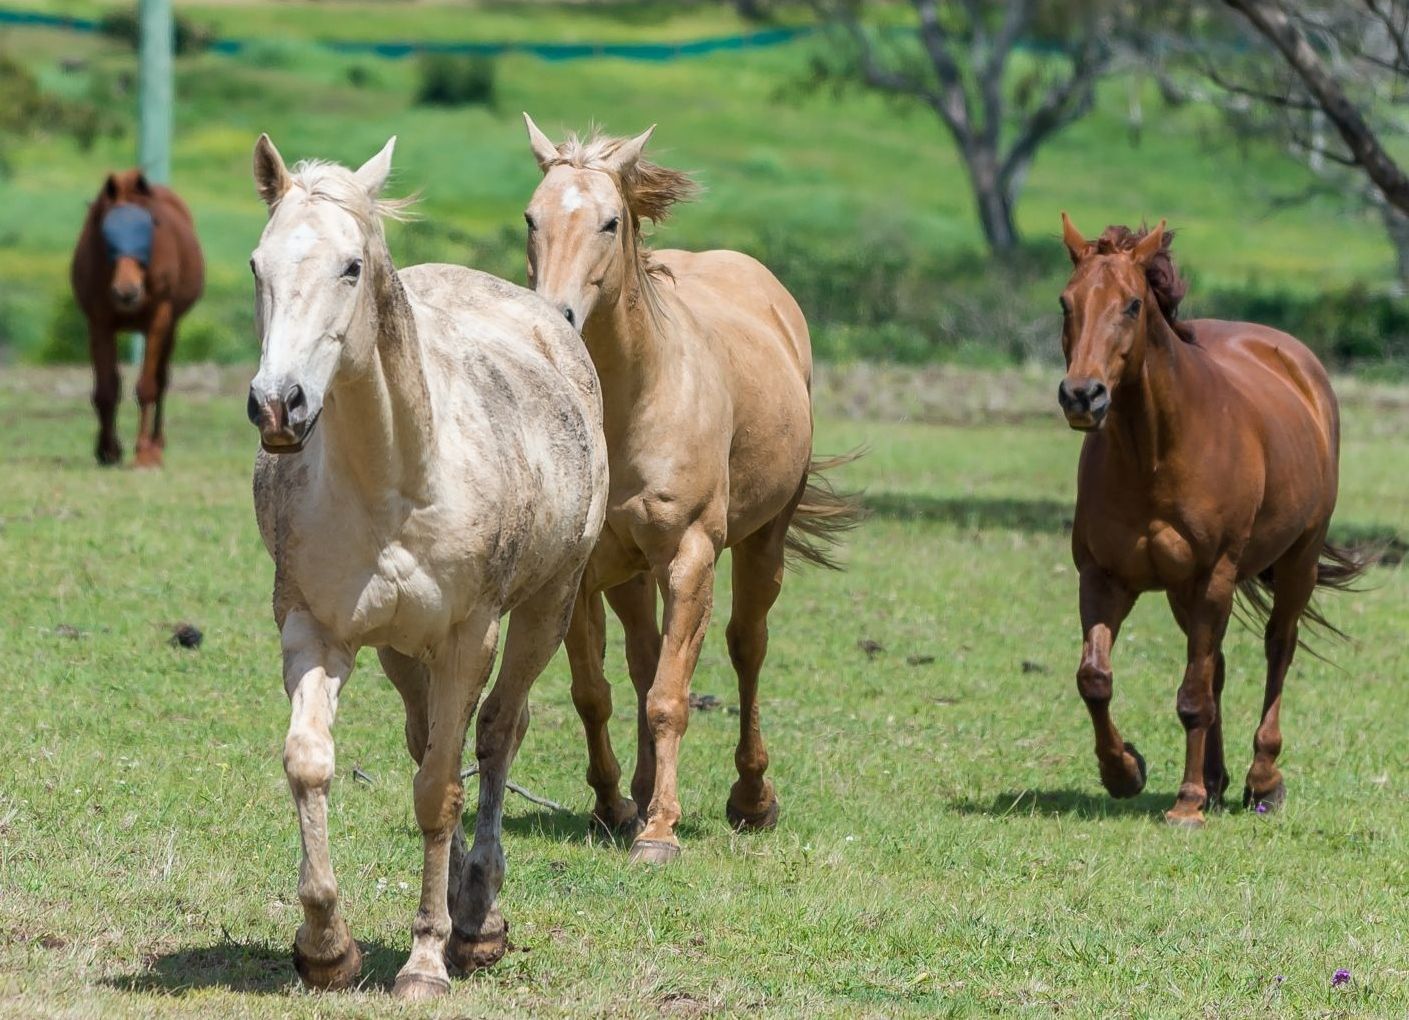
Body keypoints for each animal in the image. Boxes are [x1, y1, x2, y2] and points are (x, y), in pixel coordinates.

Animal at [70, 169, 204, 467]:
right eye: (106, 232)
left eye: (150, 226)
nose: (127, 291)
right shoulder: (99, 322)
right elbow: (106, 389)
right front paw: (108, 450)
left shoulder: (158, 320)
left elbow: (147, 387)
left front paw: (144, 453)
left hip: (171, 326)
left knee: (162, 379)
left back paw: (156, 445)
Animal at [247, 134, 607, 1000]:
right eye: (257, 264)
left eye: (350, 266)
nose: (278, 405)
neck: (396, 477)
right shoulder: (315, 629)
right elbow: (310, 765)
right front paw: (326, 946)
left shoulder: (467, 638)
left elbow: (442, 792)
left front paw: (425, 959)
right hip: (400, 648)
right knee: (425, 740)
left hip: (545, 608)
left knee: (496, 734)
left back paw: (476, 918)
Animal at [521, 114, 862, 864]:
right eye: (531, 218)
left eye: (610, 222)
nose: (555, 317)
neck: (632, 403)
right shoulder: (582, 571)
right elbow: (596, 692)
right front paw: (615, 805)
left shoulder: (690, 557)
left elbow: (670, 698)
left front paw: (659, 833)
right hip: (629, 572)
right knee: (646, 659)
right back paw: (644, 791)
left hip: (760, 543)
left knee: (745, 647)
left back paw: (751, 798)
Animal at [1056, 213, 1369, 828]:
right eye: (1066, 302)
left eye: (1132, 304)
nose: (1082, 395)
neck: (1154, 454)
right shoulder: (1104, 578)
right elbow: (1095, 680)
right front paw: (1124, 771)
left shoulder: (1212, 578)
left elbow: (1192, 698)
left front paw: (1187, 803)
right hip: (1186, 592)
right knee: (1218, 666)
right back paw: (1219, 780)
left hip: (1294, 563)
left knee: (1278, 649)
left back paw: (1261, 780)